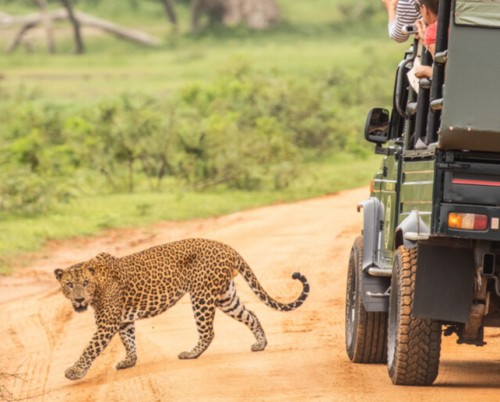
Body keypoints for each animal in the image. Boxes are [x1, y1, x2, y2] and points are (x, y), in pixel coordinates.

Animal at [53, 239, 308, 380]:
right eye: (69, 285)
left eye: (85, 283)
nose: (78, 298)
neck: (97, 285)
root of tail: (227, 247)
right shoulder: (122, 320)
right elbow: (129, 340)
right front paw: (130, 361)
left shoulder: (106, 324)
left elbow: (90, 349)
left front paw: (75, 372)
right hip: (225, 296)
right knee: (251, 315)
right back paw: (260, 344)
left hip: (202, 295)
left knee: (208, 332)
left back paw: (191, 353)